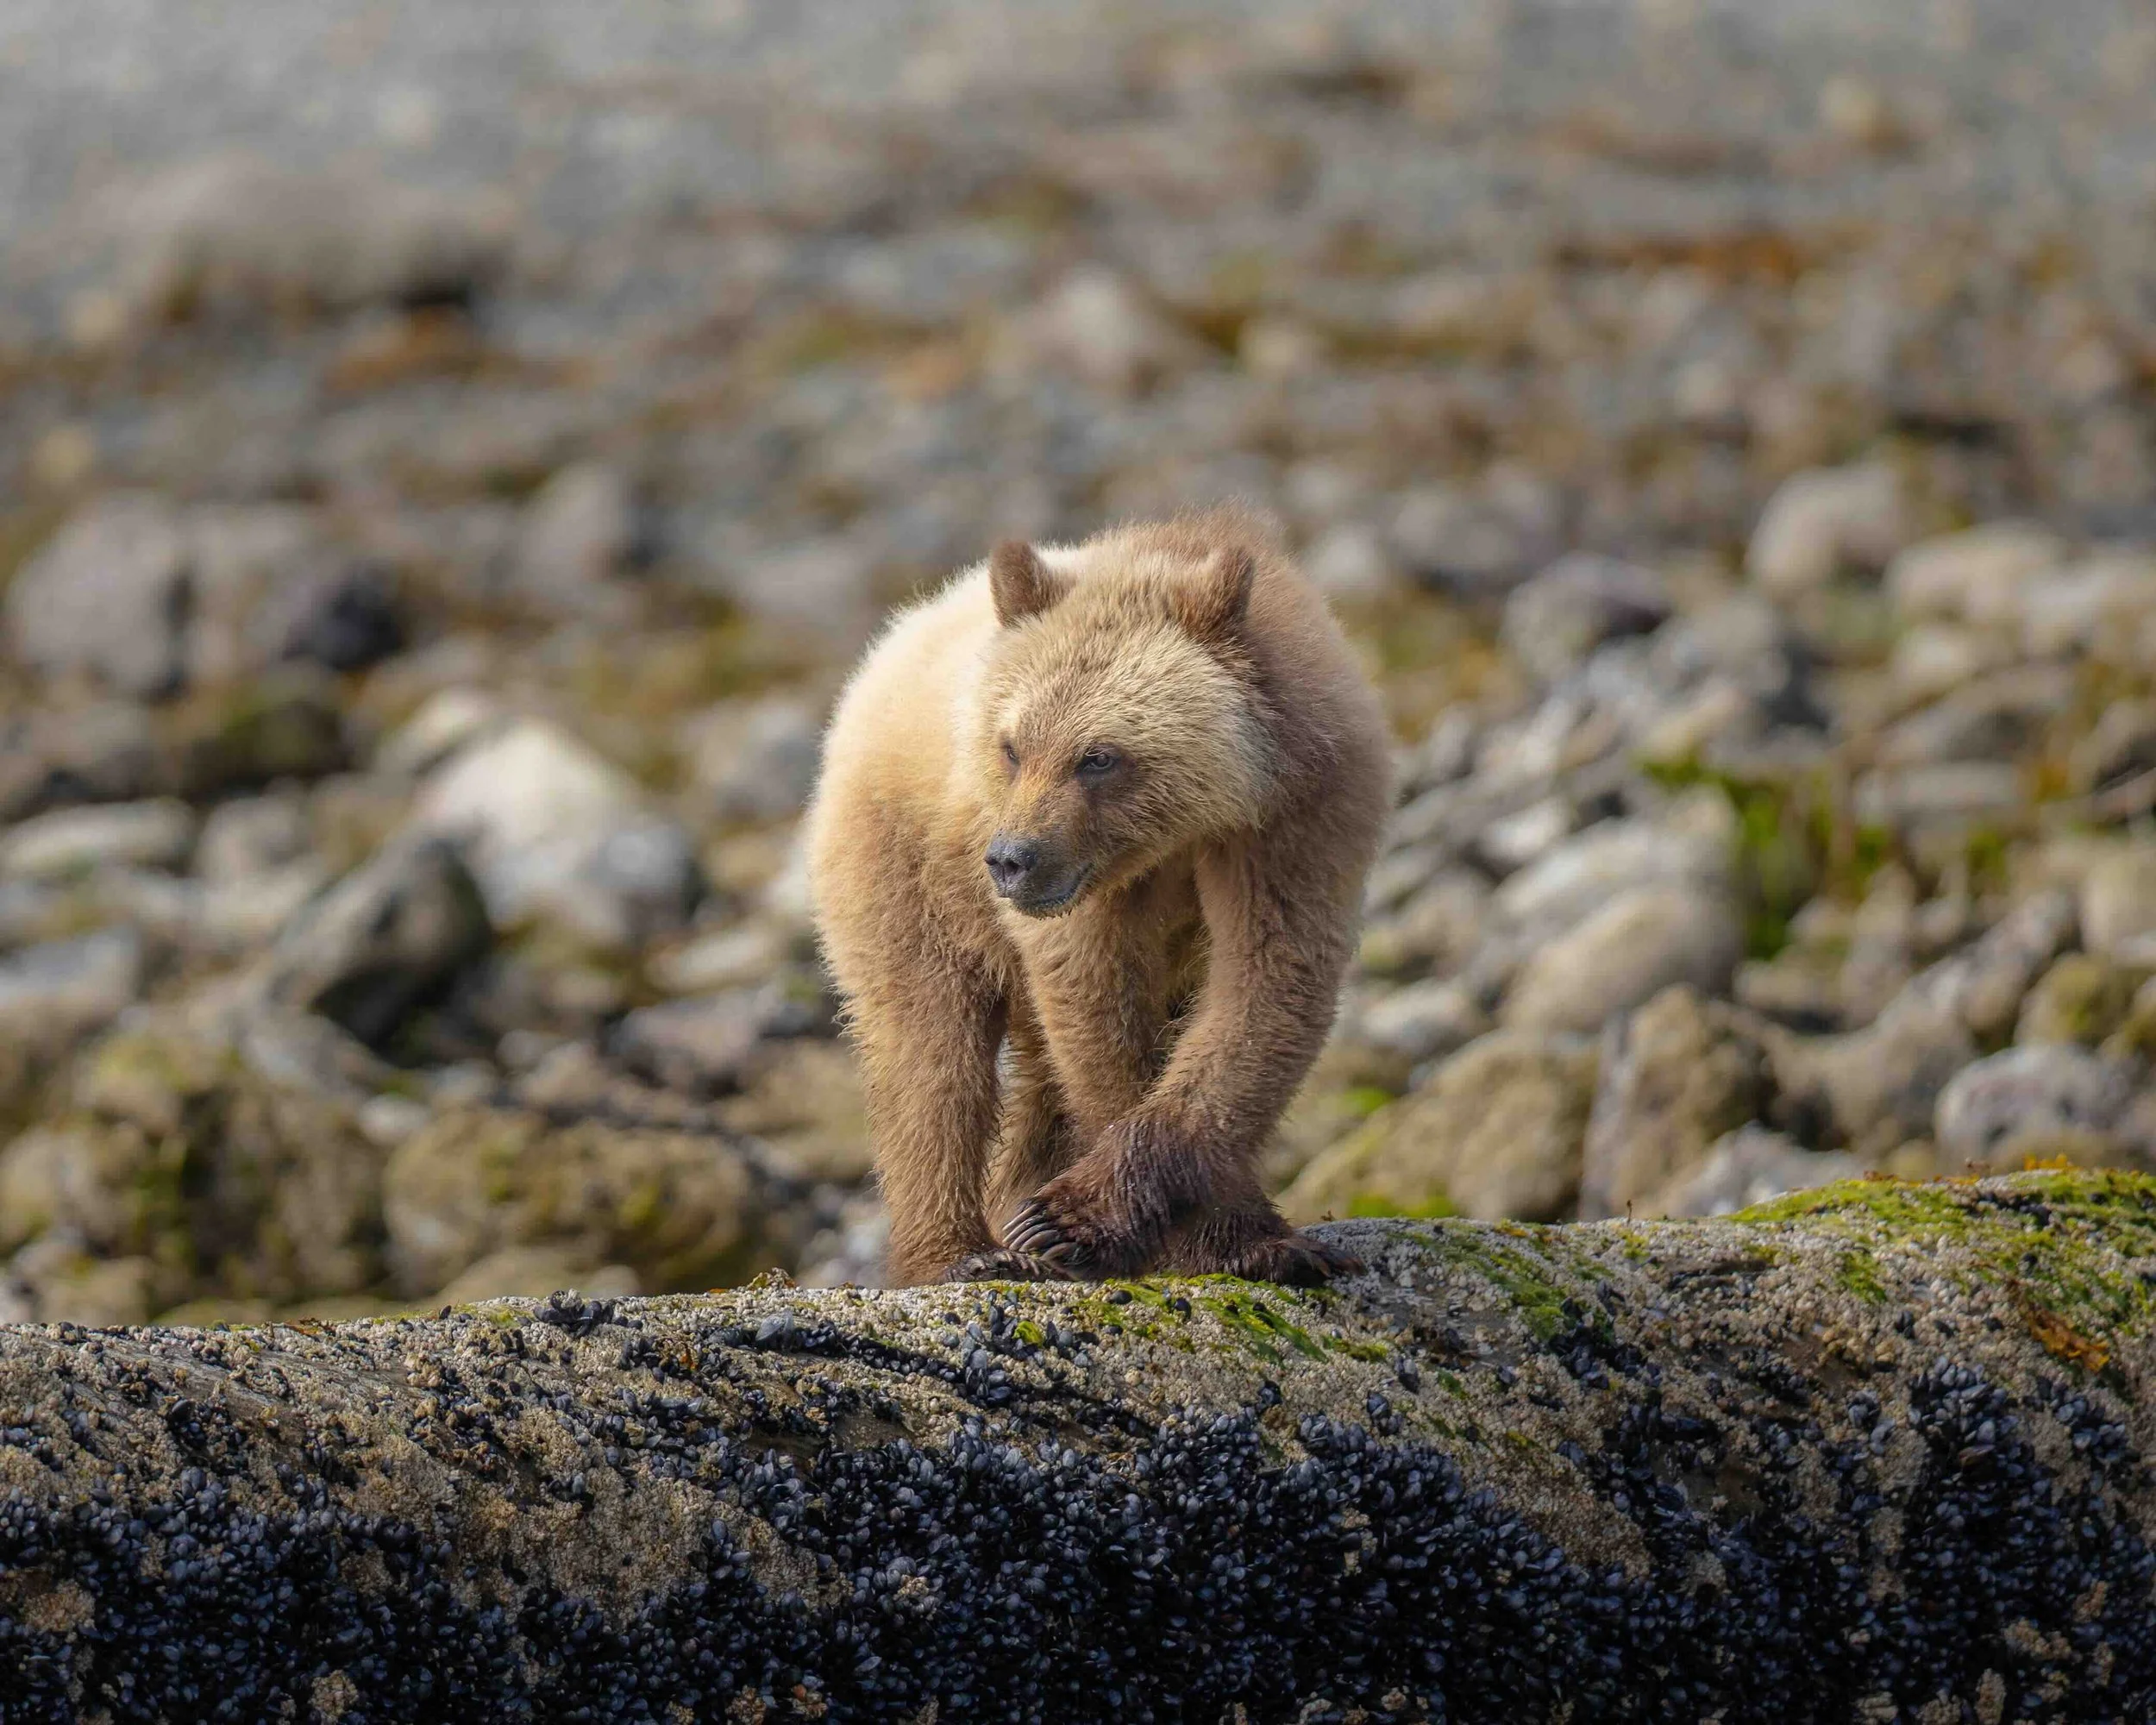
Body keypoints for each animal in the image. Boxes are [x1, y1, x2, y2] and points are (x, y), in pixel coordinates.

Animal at [805, 506, 1392, 1286]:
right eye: (1013, 746)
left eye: (1099, 757)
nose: (1011, 860)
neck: (1190, 827)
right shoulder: (1087, 897)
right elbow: (1099, 1013)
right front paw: (1091, 1227)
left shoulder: (1297, 820)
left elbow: (1261, 993)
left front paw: (1243, 1238)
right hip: (903, 863)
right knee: (930, 1051)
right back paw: (962, 1252)